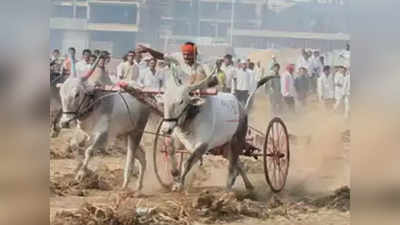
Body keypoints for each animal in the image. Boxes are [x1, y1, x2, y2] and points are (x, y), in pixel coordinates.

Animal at [59, 52, 152, 192]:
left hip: (136, 132)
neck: (93, 103)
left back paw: (126, 185)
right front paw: (80, 169)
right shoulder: (84, 132)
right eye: (61, 93)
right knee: (141, 156)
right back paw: (138, 187)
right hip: (124, 135)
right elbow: (74, 146)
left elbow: (89, 151)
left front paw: (81, 174)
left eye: (77, 94)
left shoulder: (103, 134)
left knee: (131, 158)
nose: (65, 122)